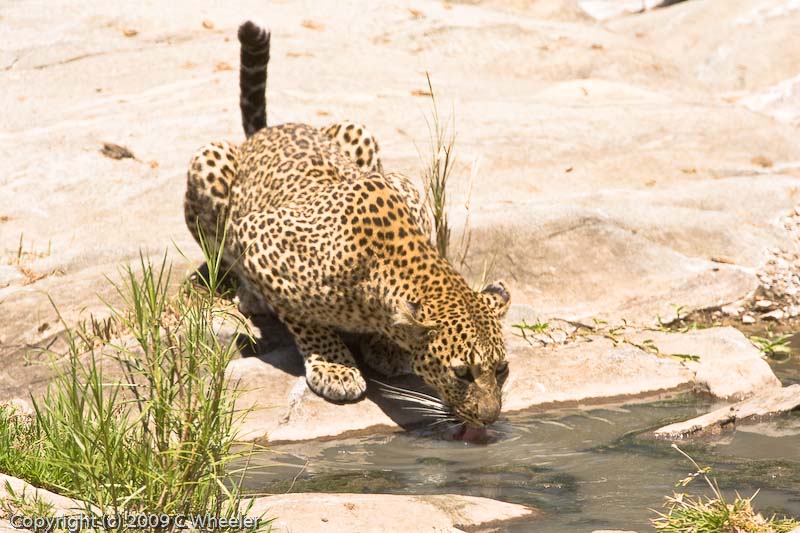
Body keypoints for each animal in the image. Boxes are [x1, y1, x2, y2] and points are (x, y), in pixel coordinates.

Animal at [184, 19, 510, 428]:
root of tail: (264, 132)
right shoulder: (258, 236)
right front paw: (334, 366)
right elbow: (305, 317)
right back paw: (251, 296)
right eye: (462, 373)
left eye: (502, 370)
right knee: (221, 256)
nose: (491, 418)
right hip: (207, 160)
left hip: (357, 130)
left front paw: (386, 346)